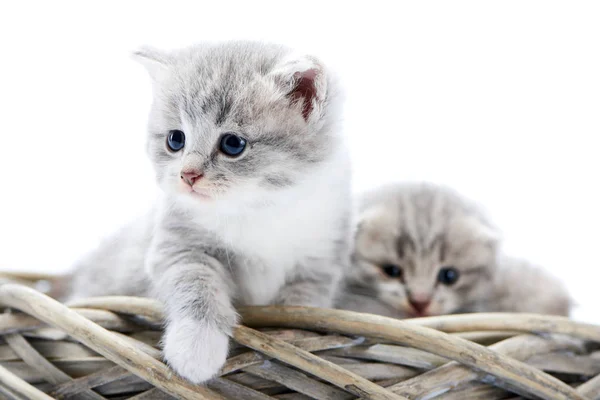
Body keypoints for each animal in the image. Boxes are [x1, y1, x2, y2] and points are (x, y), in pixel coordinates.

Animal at [67, 41, 352, 384]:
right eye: (175, 139)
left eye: (233, 144)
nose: (187, 175)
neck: (258, 207)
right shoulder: (177, 247)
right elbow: (196, 284)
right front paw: (195, 348)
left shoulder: (321, 259)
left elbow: (304, 304)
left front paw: (291, 337)